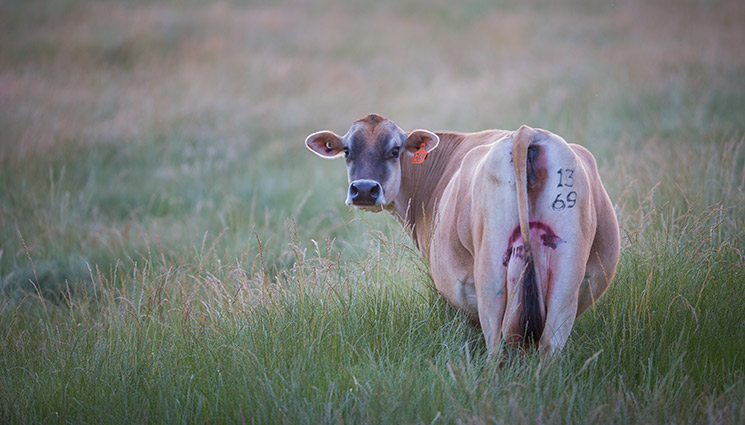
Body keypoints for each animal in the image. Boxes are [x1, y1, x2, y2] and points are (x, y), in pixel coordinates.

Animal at [305, 114, 620, 356]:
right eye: (347, 150)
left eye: (395, 150)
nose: (364, 190)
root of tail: (525, 133)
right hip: (567, 276)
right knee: (549, 346)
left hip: (491, 277)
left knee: (497, 348)